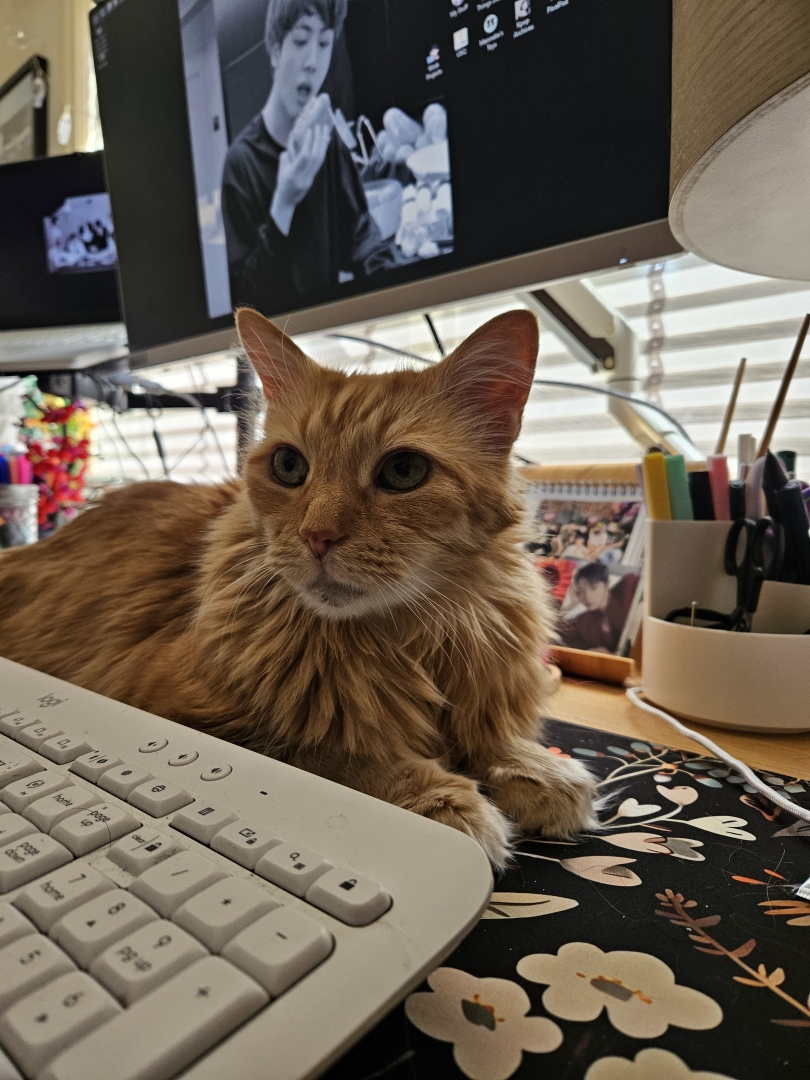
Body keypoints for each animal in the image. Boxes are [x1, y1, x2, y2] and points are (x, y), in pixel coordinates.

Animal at [0, 308, 596, 864]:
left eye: (404, 471)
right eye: (289, 465)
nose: (317, 536)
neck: (408, 641)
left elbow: (490, 733)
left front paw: (535, 766)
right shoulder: (185, 714)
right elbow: (334, 753)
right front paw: (444, 799)